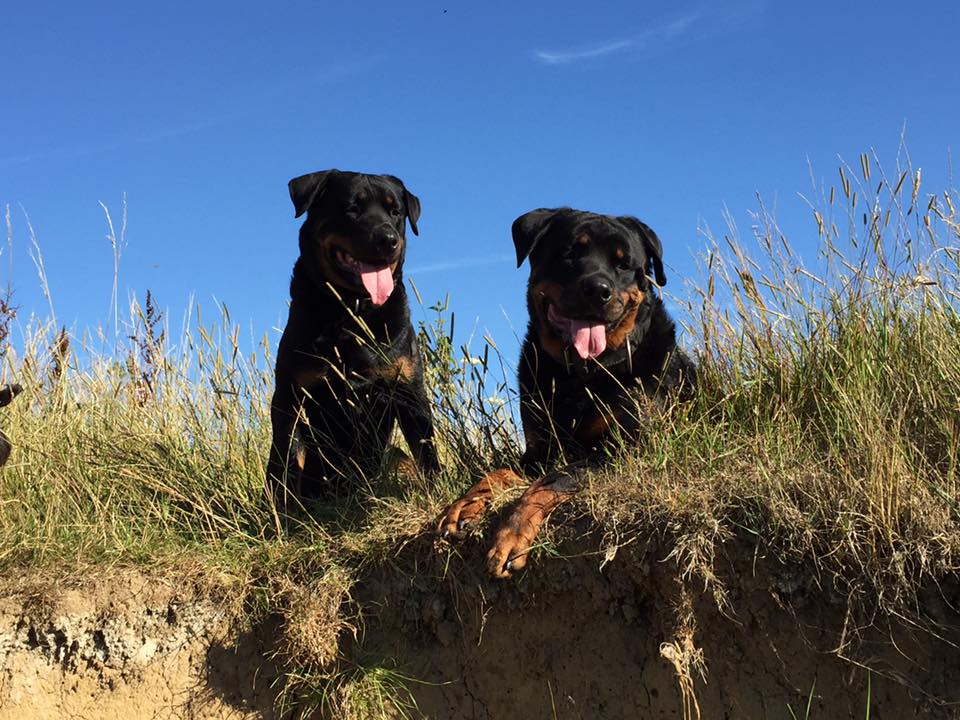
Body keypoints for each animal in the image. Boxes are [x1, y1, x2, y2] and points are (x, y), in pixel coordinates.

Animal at [266, 171, 438, 504]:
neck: (352, 311)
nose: (388, 239)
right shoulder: (290, 398)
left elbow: (427, 454)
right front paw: (284, 513)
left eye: (395, 212)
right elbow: (288, 463)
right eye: (351, 208)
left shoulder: (409, 391)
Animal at [438, 208, 692, 580]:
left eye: (623, 263)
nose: (598, 289)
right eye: (571, 252)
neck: (579, 376)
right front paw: (465, 504)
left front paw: (511, 535)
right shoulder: (538, 450)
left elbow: (554, 479)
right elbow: (499, 472)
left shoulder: (624, 448)